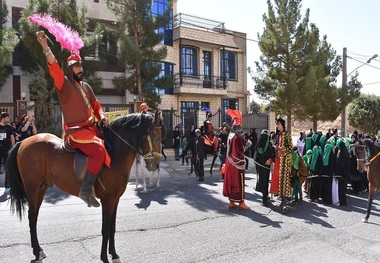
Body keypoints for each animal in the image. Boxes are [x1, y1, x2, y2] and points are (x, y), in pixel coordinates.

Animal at [7, 112, 162, 263]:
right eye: (155, 134)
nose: (155, 165)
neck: (115, 155)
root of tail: (23, 142)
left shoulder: (115, 199)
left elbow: (112, 228)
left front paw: (114, 254)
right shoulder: (108, 200)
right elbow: (105, 229)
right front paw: (104, 257)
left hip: (41, 188)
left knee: (34, 217)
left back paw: (39, 250)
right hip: (32, 188)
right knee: (31, 216)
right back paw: (36, 252)